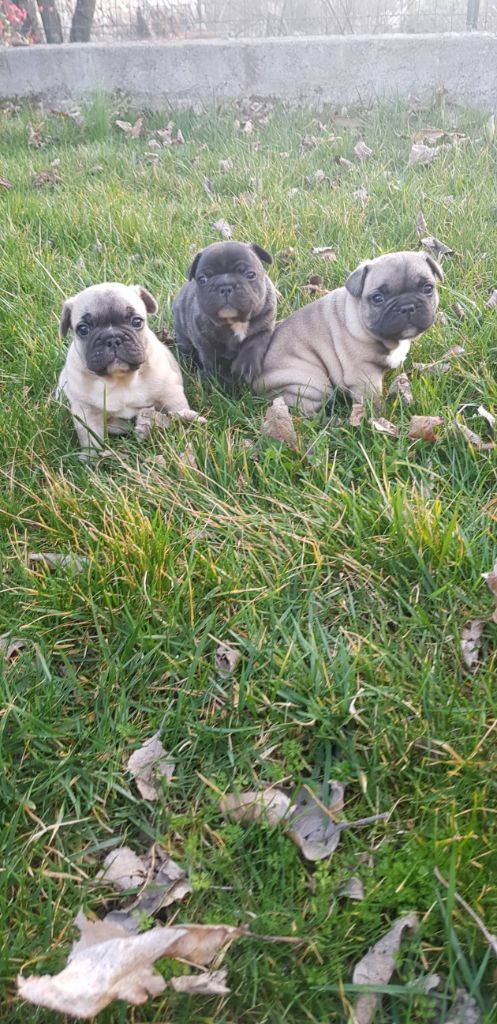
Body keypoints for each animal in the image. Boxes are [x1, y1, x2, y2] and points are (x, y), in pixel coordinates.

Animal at [57, 280, 203, 456]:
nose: (112, 338)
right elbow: (90, 438)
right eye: (83, 329)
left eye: (137, 322)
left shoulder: (170, 395)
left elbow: (179, 412)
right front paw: (92, 458)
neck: (120, 379)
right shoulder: (85, 412)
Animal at [172, 239, 276, 385]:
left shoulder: (265, 325)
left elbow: (255, 342)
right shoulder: (205, 345)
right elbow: (212, 365)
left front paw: (246, 366)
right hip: (183, 337)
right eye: (202, 279)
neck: (236, 321)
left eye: (250, 275)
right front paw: (220, 383)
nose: (225, 287)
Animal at [254, 249, 440, 413]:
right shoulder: (364, 377)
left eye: (428, 288)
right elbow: (374, 403)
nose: (407, 306)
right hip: (311, 383)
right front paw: (379, 419)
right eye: (377, 298)